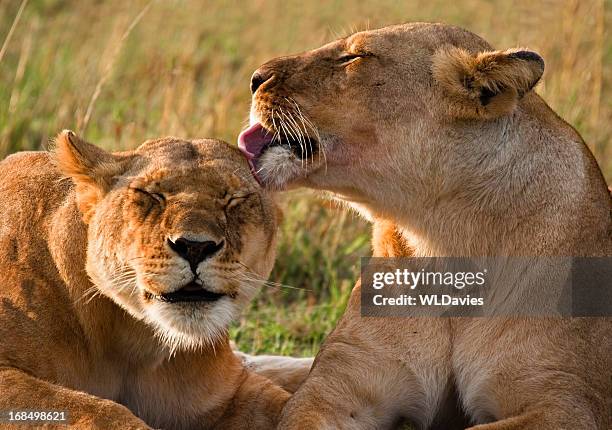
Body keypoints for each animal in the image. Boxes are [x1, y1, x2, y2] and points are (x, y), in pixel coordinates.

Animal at [0, 133, 296, 428]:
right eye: (152, 195)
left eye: (234, 199)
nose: (195, 247)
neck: (134, 342)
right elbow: (98, 411)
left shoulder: (231, 392)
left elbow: (293, 407)